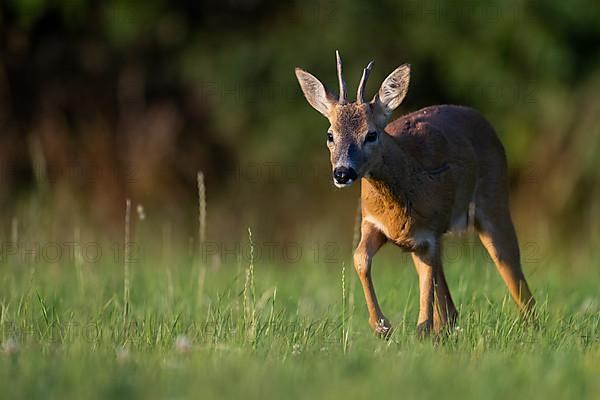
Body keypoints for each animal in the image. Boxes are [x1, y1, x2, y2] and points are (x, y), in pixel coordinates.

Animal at [294, 50, 536, 338]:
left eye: (371, 134)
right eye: (330, 135)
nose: (342, 173)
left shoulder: (428, 234)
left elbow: (426, 287)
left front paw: (417, 330)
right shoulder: (374, 223)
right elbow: (359, 258)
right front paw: (381, 326)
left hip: (494, 201)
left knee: (509, 265)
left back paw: (532, 328)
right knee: (449, 300)